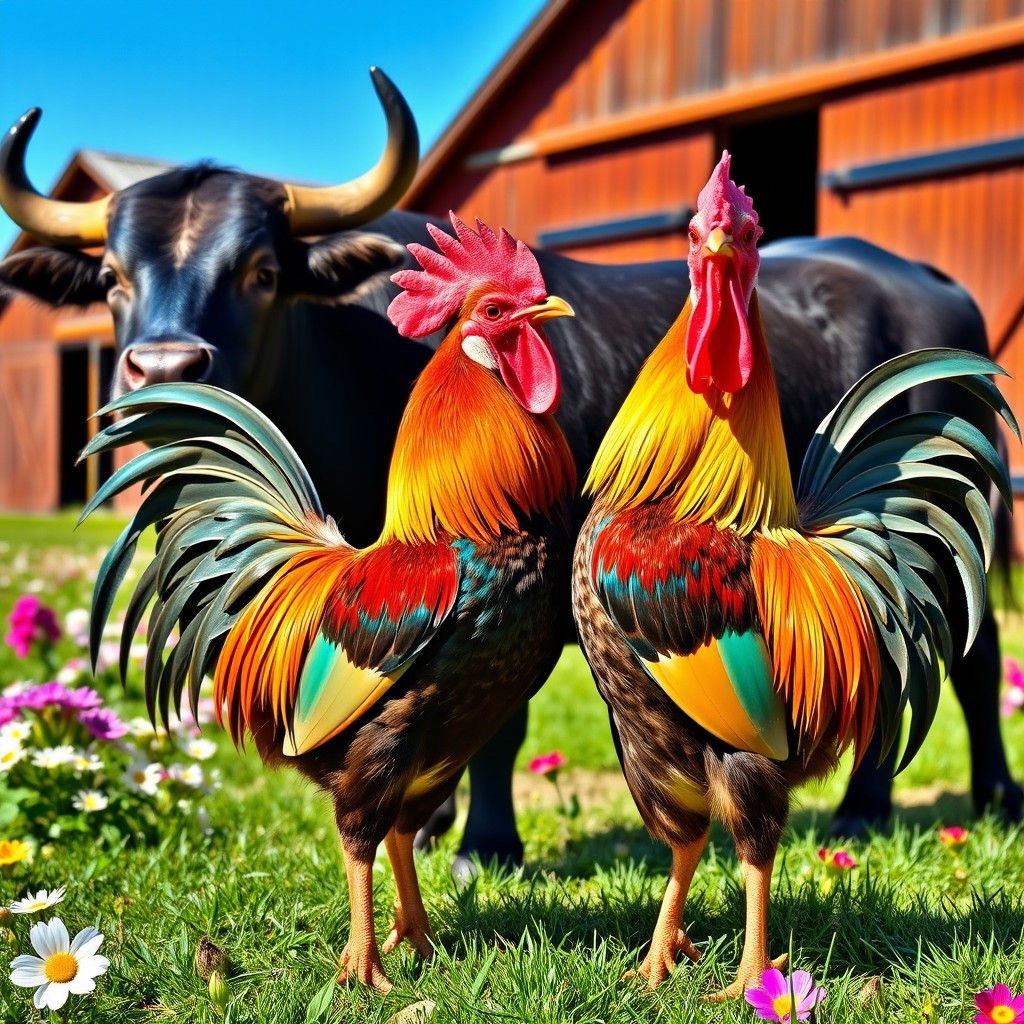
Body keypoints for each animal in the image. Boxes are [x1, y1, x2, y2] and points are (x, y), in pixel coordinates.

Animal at [0, 71, 1018, 876]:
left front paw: (486, 843)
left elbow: (503, 730)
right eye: (112, 278)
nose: (165, 369)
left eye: (259, 270)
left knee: (963, 661)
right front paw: (436, 825)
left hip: (961, 520)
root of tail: (927, 283)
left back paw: (947, 800)